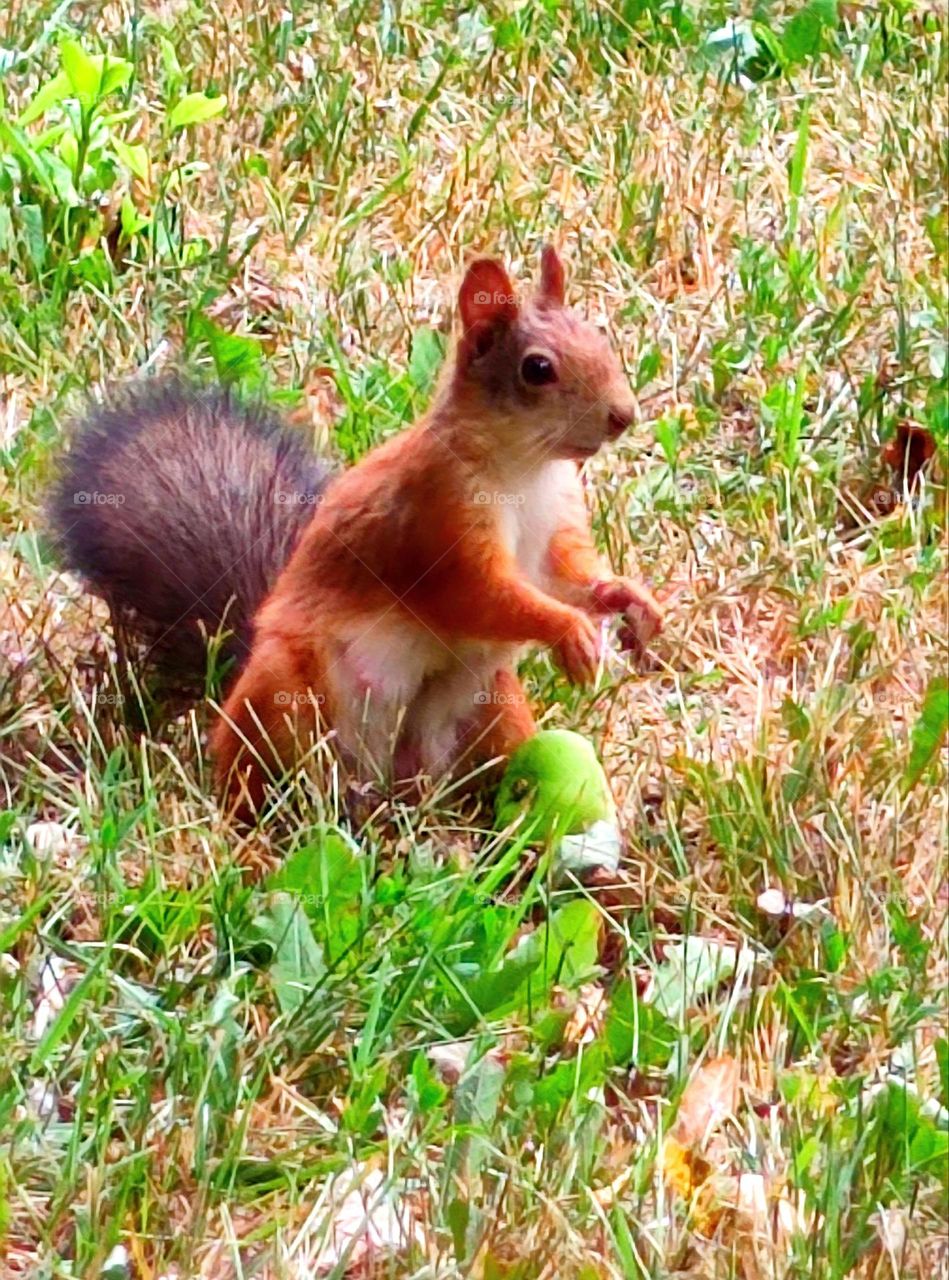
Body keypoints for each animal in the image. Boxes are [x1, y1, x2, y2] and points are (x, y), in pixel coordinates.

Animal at [51, 247, 663, 815]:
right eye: (537, 369)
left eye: (599, 338)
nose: (624, 416)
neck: (525, 469)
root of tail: (382, 780)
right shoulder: (439, 521)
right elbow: (483, 595)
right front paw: (570, 633)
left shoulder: (557, 527)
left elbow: (569, 577)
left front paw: (630, 601)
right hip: (285, 692)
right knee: (249, 773)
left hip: (489, 707)